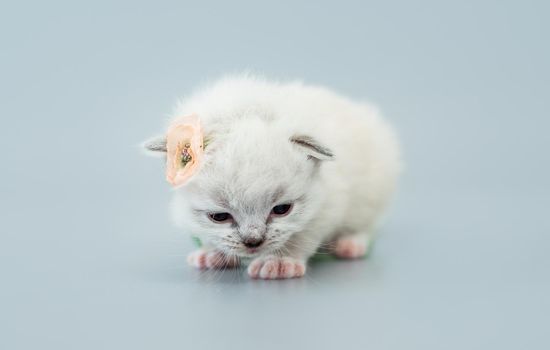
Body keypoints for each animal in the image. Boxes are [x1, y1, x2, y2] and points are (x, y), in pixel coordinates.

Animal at [143, 75, 402, 280]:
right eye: (219, 217)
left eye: (281, 209)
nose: (253, 241)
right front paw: (213, 253)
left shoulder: (327, 206)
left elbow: (300, 236)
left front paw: (279, 263)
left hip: (371, 193)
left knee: (365, 225)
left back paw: (350, 244)